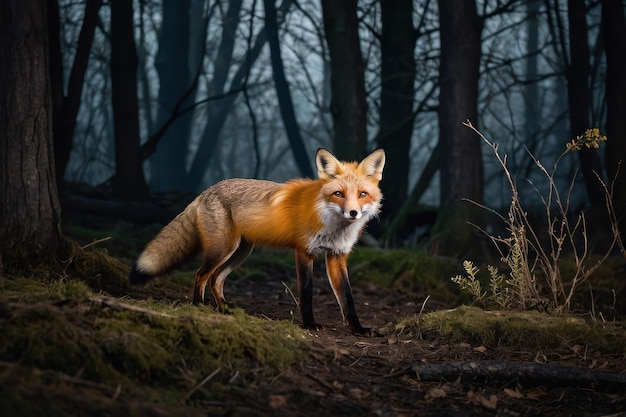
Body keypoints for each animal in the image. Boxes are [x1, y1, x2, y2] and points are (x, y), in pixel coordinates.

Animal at [129, 148, 382, 336]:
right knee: (200, 275)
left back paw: (225, 310)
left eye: (362, 194)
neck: (331, 225)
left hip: (241, 252)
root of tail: (207, 190)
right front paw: (309, 325)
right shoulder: (304, 252)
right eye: (338, 194)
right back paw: (199, 308)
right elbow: (306, 293)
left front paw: (358, 329)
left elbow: (348, 299)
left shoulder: (337, 257)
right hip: (222, 249)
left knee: (215, 279)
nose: (353, 213)